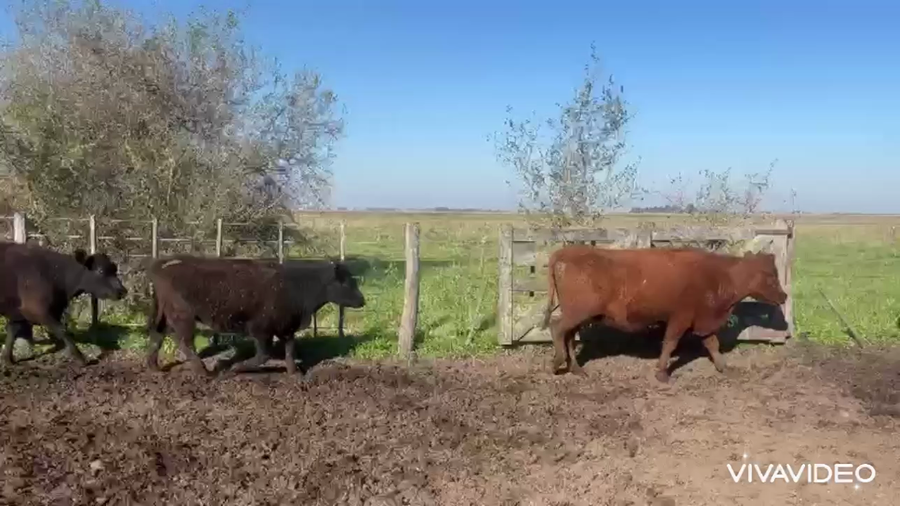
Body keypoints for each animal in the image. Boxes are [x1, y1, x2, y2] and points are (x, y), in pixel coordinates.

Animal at [0, 242, 128, 366]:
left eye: (115, 269)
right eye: (100, 271)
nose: (123, 291)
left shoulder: (19, 312)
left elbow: (11, 332)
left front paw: (8, 360)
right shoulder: (35, 309)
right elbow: (62, 330)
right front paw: (81, 358)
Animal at [145, 255, 366, 376]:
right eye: (347, 282)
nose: (362, 300)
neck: (296, 285)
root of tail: (163, 264)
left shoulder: (286, 327)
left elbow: (289, 349)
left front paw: (294, 373)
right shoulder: (261, 330)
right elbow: (262, 356)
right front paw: (235, 368)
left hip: (165, 314)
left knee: (158, 335)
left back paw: (154, 367)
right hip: (183, 316)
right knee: (184, 342)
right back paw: (204, 372)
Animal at [540, 245, 788, 382]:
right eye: (770, 276)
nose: (784, 296)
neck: (718, 275)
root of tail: (566, 251)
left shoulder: (703, 320)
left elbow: (712, 344)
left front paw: (724, 367)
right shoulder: (681, 317)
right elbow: (670, 343)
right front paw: (661, 373)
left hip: (578, 315)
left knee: (568, 336)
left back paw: (576, 369)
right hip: (578, 312)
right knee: (557, 329)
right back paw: (557, 363)